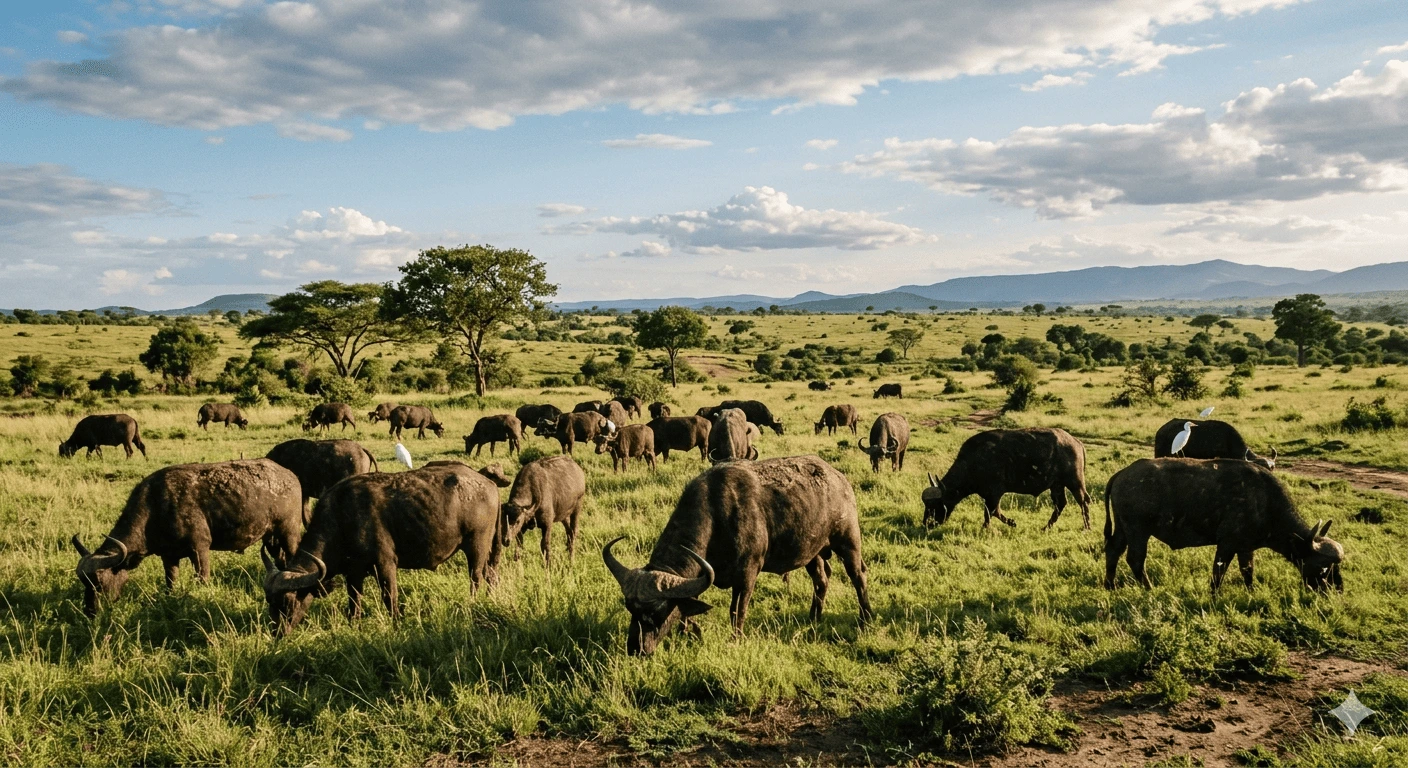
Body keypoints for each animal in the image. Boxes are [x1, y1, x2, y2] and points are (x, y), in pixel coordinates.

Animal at [74, 459, 302, 616]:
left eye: (99, 583)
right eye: (84, 583)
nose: (90, 611)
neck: (155, 507)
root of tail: (290, 475)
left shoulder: (200, 549)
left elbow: (203, 579)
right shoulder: (168, 556)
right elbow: (170, 582)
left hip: (288, 532)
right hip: (271, 539)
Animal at [261, 462, 504, 633]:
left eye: (288, 601)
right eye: (270, 602)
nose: (277, 633)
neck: (342, 518)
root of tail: (488, 483)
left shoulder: (385, 564)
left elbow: (390, 596)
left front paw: (397, 622)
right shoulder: (353, 573)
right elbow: (354, 600)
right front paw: (354, 624)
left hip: (477, 545)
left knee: (476, 577)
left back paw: (472, 602)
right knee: (491, 574)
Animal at [603, 455, 873, 655]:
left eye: (657, 613)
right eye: (630, 608)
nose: (636, 649)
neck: (717, 515)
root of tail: (839, 478)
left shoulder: (746, 575)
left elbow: (736, 611)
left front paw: (736, 639)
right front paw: (689, 633)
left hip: (848, 540)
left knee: (858, 576)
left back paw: (866, 619)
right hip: (810, 551)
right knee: (821, 579)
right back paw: (813, 617)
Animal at [923, 428, 1090, 530]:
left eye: (935, 504)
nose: (926, 523)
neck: (973, 461)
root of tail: (1076, 442)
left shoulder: (994, 493)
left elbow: (991, 512)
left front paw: (989, 527)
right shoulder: (990, 495)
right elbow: (993, 511)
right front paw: (1009, 523)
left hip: (1075, 482)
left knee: (1083, 502)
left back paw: (1087, 527)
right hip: (1056, 485)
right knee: (1060, 504)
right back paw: (1046, 527)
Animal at [1104, 458, 1344, 592]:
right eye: (1324, 567)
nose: (1337, 589)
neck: (1265, 501)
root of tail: (1122, 473)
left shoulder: (1245, 547)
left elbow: (1247, 570)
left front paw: (1251, 591)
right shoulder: (1227, 544)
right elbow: (1218, 572)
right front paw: (1214, 594)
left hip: (1123, 529)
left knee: (1113, 550)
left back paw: (1110, 586)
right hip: (1138, 531)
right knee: (1135, 559)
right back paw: (1148, 588)